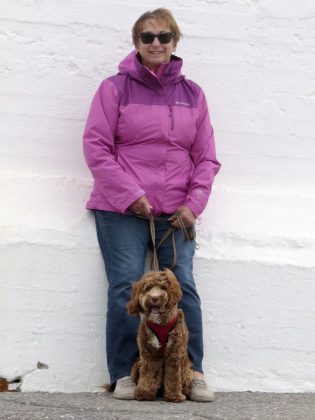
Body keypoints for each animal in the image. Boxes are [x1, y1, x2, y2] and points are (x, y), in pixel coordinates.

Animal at [128, 268, 193, 402]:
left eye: (164, 288)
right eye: (147, 288)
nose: (154, 298)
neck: (160, 323)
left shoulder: (175, 353)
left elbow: (173, 377)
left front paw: (174, 396)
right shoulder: (149, 353)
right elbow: (148, 374)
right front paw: (144, 393)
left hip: (186, 370)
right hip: (137, 364)